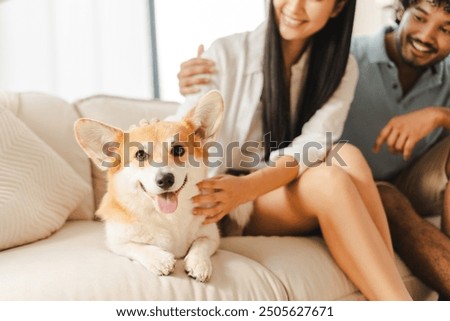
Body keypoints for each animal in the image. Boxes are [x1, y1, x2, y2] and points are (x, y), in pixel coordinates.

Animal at [73, 89, 250, 280]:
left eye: (178, 149)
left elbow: (201, 243)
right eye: (140, 155)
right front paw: (159, 260)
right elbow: (137, 246)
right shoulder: (117, 242)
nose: (165, 179)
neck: (170, 217)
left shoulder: (212, 237)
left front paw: (199, 263)